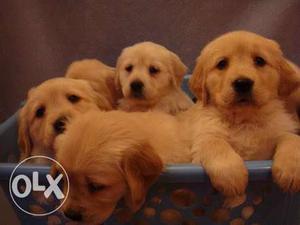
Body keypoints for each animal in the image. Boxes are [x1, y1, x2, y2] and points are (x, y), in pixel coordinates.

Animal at [189, 31, 300, 202]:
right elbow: (214, 143)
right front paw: (232, 177)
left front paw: (291, 170)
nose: (242, 83)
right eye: (222, 64)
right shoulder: (204, 136)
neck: (245, 121)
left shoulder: (279, 131)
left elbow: (291, 138)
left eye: (259, 61)